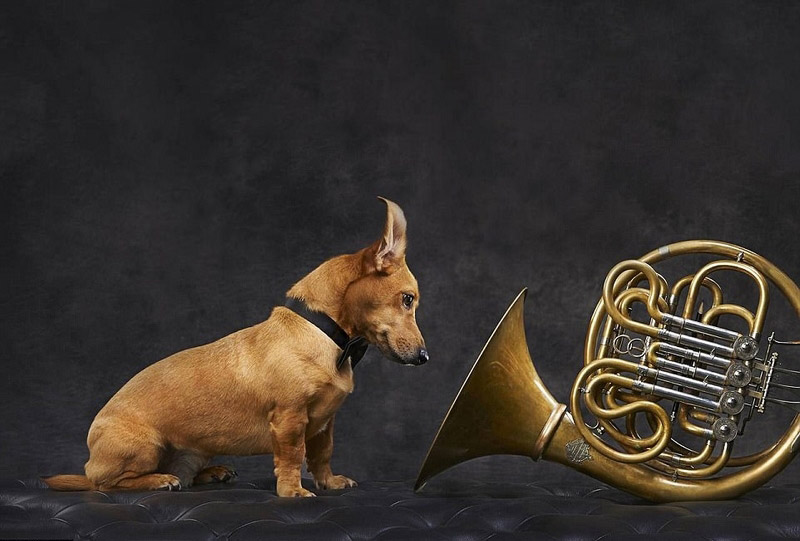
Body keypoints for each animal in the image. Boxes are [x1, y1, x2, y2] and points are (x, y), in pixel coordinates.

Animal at [42, 196, 432, 496]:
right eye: (408, 299)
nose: (425, 357)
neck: (328, 335)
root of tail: (90, 463)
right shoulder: (289, 419)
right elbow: (292, 457)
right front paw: (293, 491)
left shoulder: (325, 424)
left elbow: (321, 455)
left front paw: (330, 482)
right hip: (144, 447)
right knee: (109, 484)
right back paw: (158, 480)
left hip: (195, 451)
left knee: (181, 474)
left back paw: (211, 473)